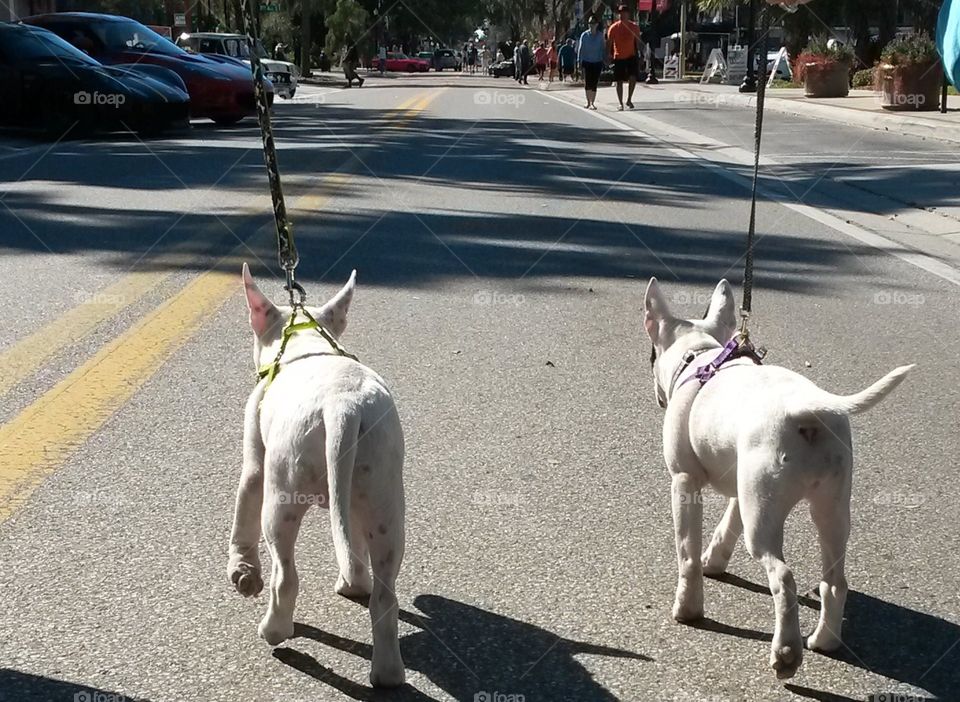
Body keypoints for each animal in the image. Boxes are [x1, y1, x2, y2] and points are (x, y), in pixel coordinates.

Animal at [228, 266, 404, 692]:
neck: (305, 345)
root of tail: (344, 406)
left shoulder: (255, 461)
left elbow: (244, 510)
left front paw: (242, 571)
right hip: (382, 494)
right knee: (384, 592)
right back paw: (387, 670)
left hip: (283, 494)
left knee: (285, 574)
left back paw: (274, 630)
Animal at [640, 280, 912, 680]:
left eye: (651, 356)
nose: (659, 397)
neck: (702, 356)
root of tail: (807, 410)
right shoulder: (742, 490)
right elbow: (727, 527)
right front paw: (714, 562)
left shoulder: (684, 483)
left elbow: (686, 553)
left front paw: (688, 609)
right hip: (824, 505)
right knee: (835, 581)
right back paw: (824, 641)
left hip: (764, 519)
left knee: (783, 577)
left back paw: (786, 655)